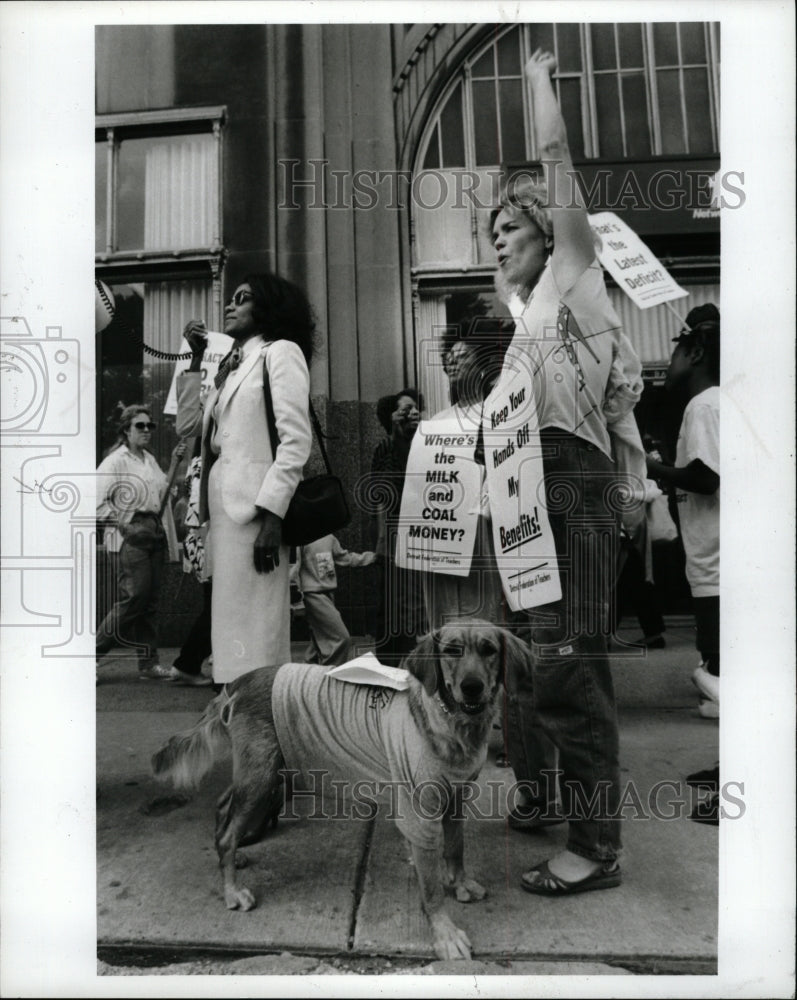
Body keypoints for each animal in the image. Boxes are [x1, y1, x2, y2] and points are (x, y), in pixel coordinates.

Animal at [153, 616, 532, 960]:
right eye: (452, 651)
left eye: (489, 650)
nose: (472, 686)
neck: (450, 723)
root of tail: (239, 681)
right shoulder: (419, 812)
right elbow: (431, 888)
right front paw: (445, 933)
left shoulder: (454, 798)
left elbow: (456, 847)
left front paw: (460, 883)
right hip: (262, 776)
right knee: (227, 833)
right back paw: (232, 890)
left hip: (268, 773)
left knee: (222, 807)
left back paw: (231, 860)